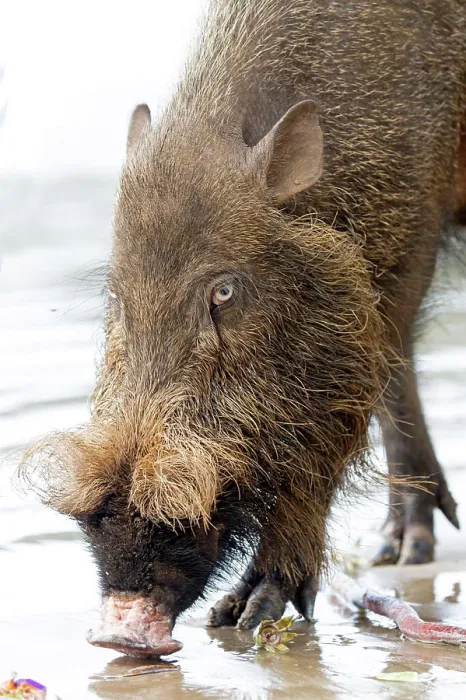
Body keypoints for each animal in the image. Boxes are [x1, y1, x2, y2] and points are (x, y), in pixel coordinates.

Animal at [21, 0, 466, 657]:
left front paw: (250, 613)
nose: (117, 632)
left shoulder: (406, 255)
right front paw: (393, 554)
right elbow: (389, 388)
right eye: (117, 297)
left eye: (224, 292)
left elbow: (355, 409)